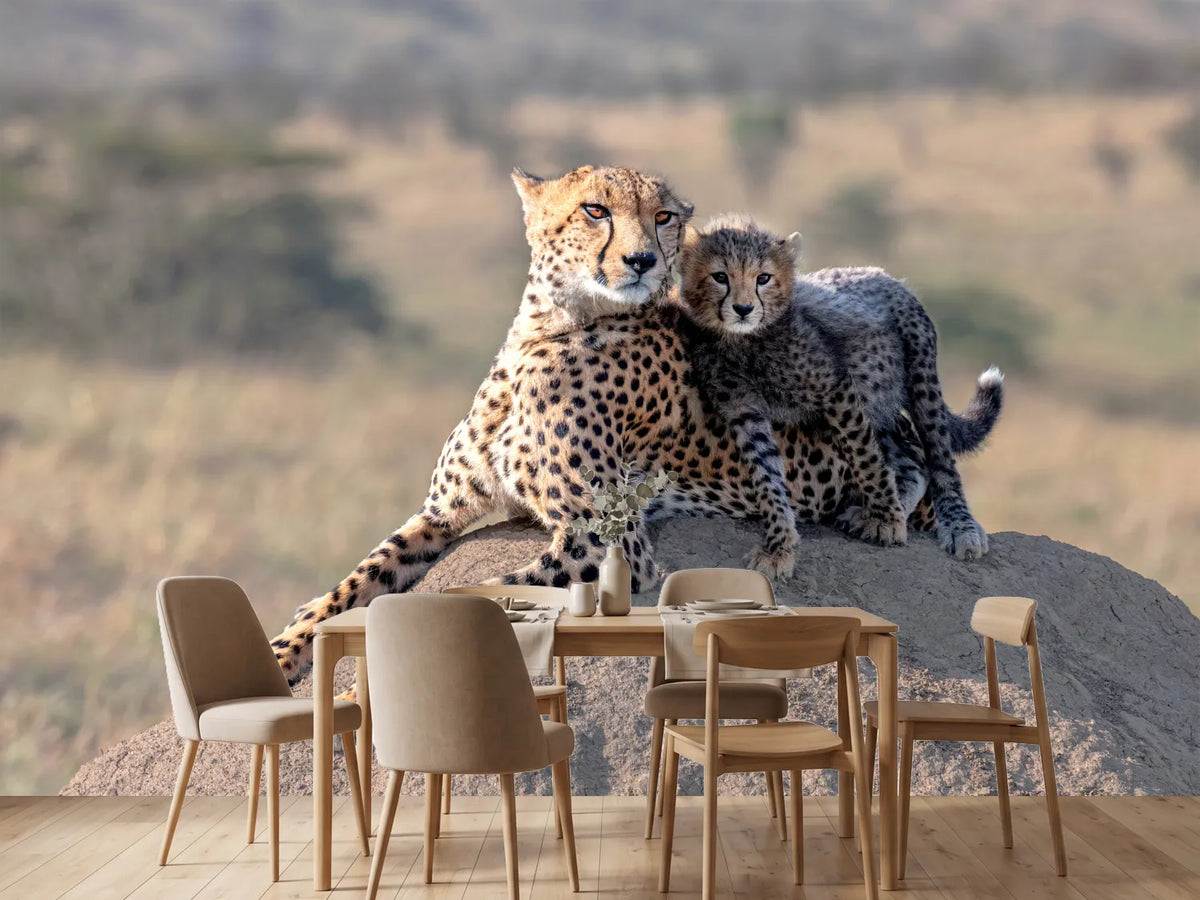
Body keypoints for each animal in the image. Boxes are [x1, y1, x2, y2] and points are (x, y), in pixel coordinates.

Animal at [269, 166, 937, 684]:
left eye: (664, 216)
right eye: (595, 210)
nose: (641, 259)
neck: (551, 328)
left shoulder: (605, 538)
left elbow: (480, 589)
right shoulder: (441, 513)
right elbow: (358, 579)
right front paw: (286, 649)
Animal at [675, 214, 1002, 573]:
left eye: (763, 278)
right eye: (720, 277)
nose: (744, 308)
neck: (742, 342)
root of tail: (882, 274)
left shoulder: (836, 390)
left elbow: (866, 459)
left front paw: (888, 521)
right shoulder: (744, 411)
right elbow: (767, 475)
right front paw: (779, 547)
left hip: (920, 377)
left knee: (939, 457)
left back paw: (958, 527)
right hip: (877, 400)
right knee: (911, 461)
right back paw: (883, 508)